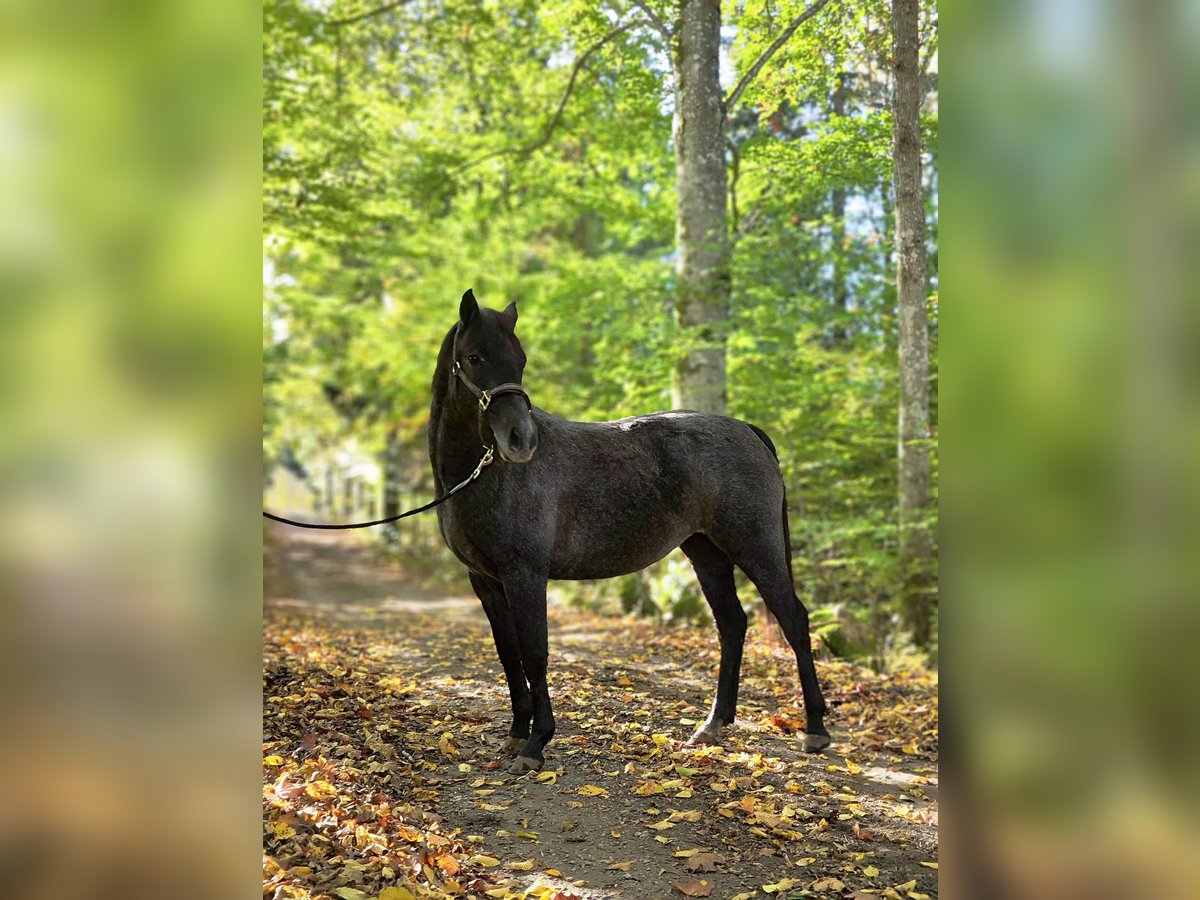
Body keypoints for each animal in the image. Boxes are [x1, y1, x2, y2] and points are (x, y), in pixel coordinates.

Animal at [430, 289, 830, 774]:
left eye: (520, 359)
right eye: (474, 357)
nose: (521, 440)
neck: (483, 476)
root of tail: (747, 431)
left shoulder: (524, 575)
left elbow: (534, 653)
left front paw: (535, 743)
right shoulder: (486, 581)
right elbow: (509, 655)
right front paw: (515, 735)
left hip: (756, 547)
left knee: (794, 620)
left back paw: (815, 730)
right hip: (706, 552)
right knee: (732, 624)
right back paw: (712, 725)